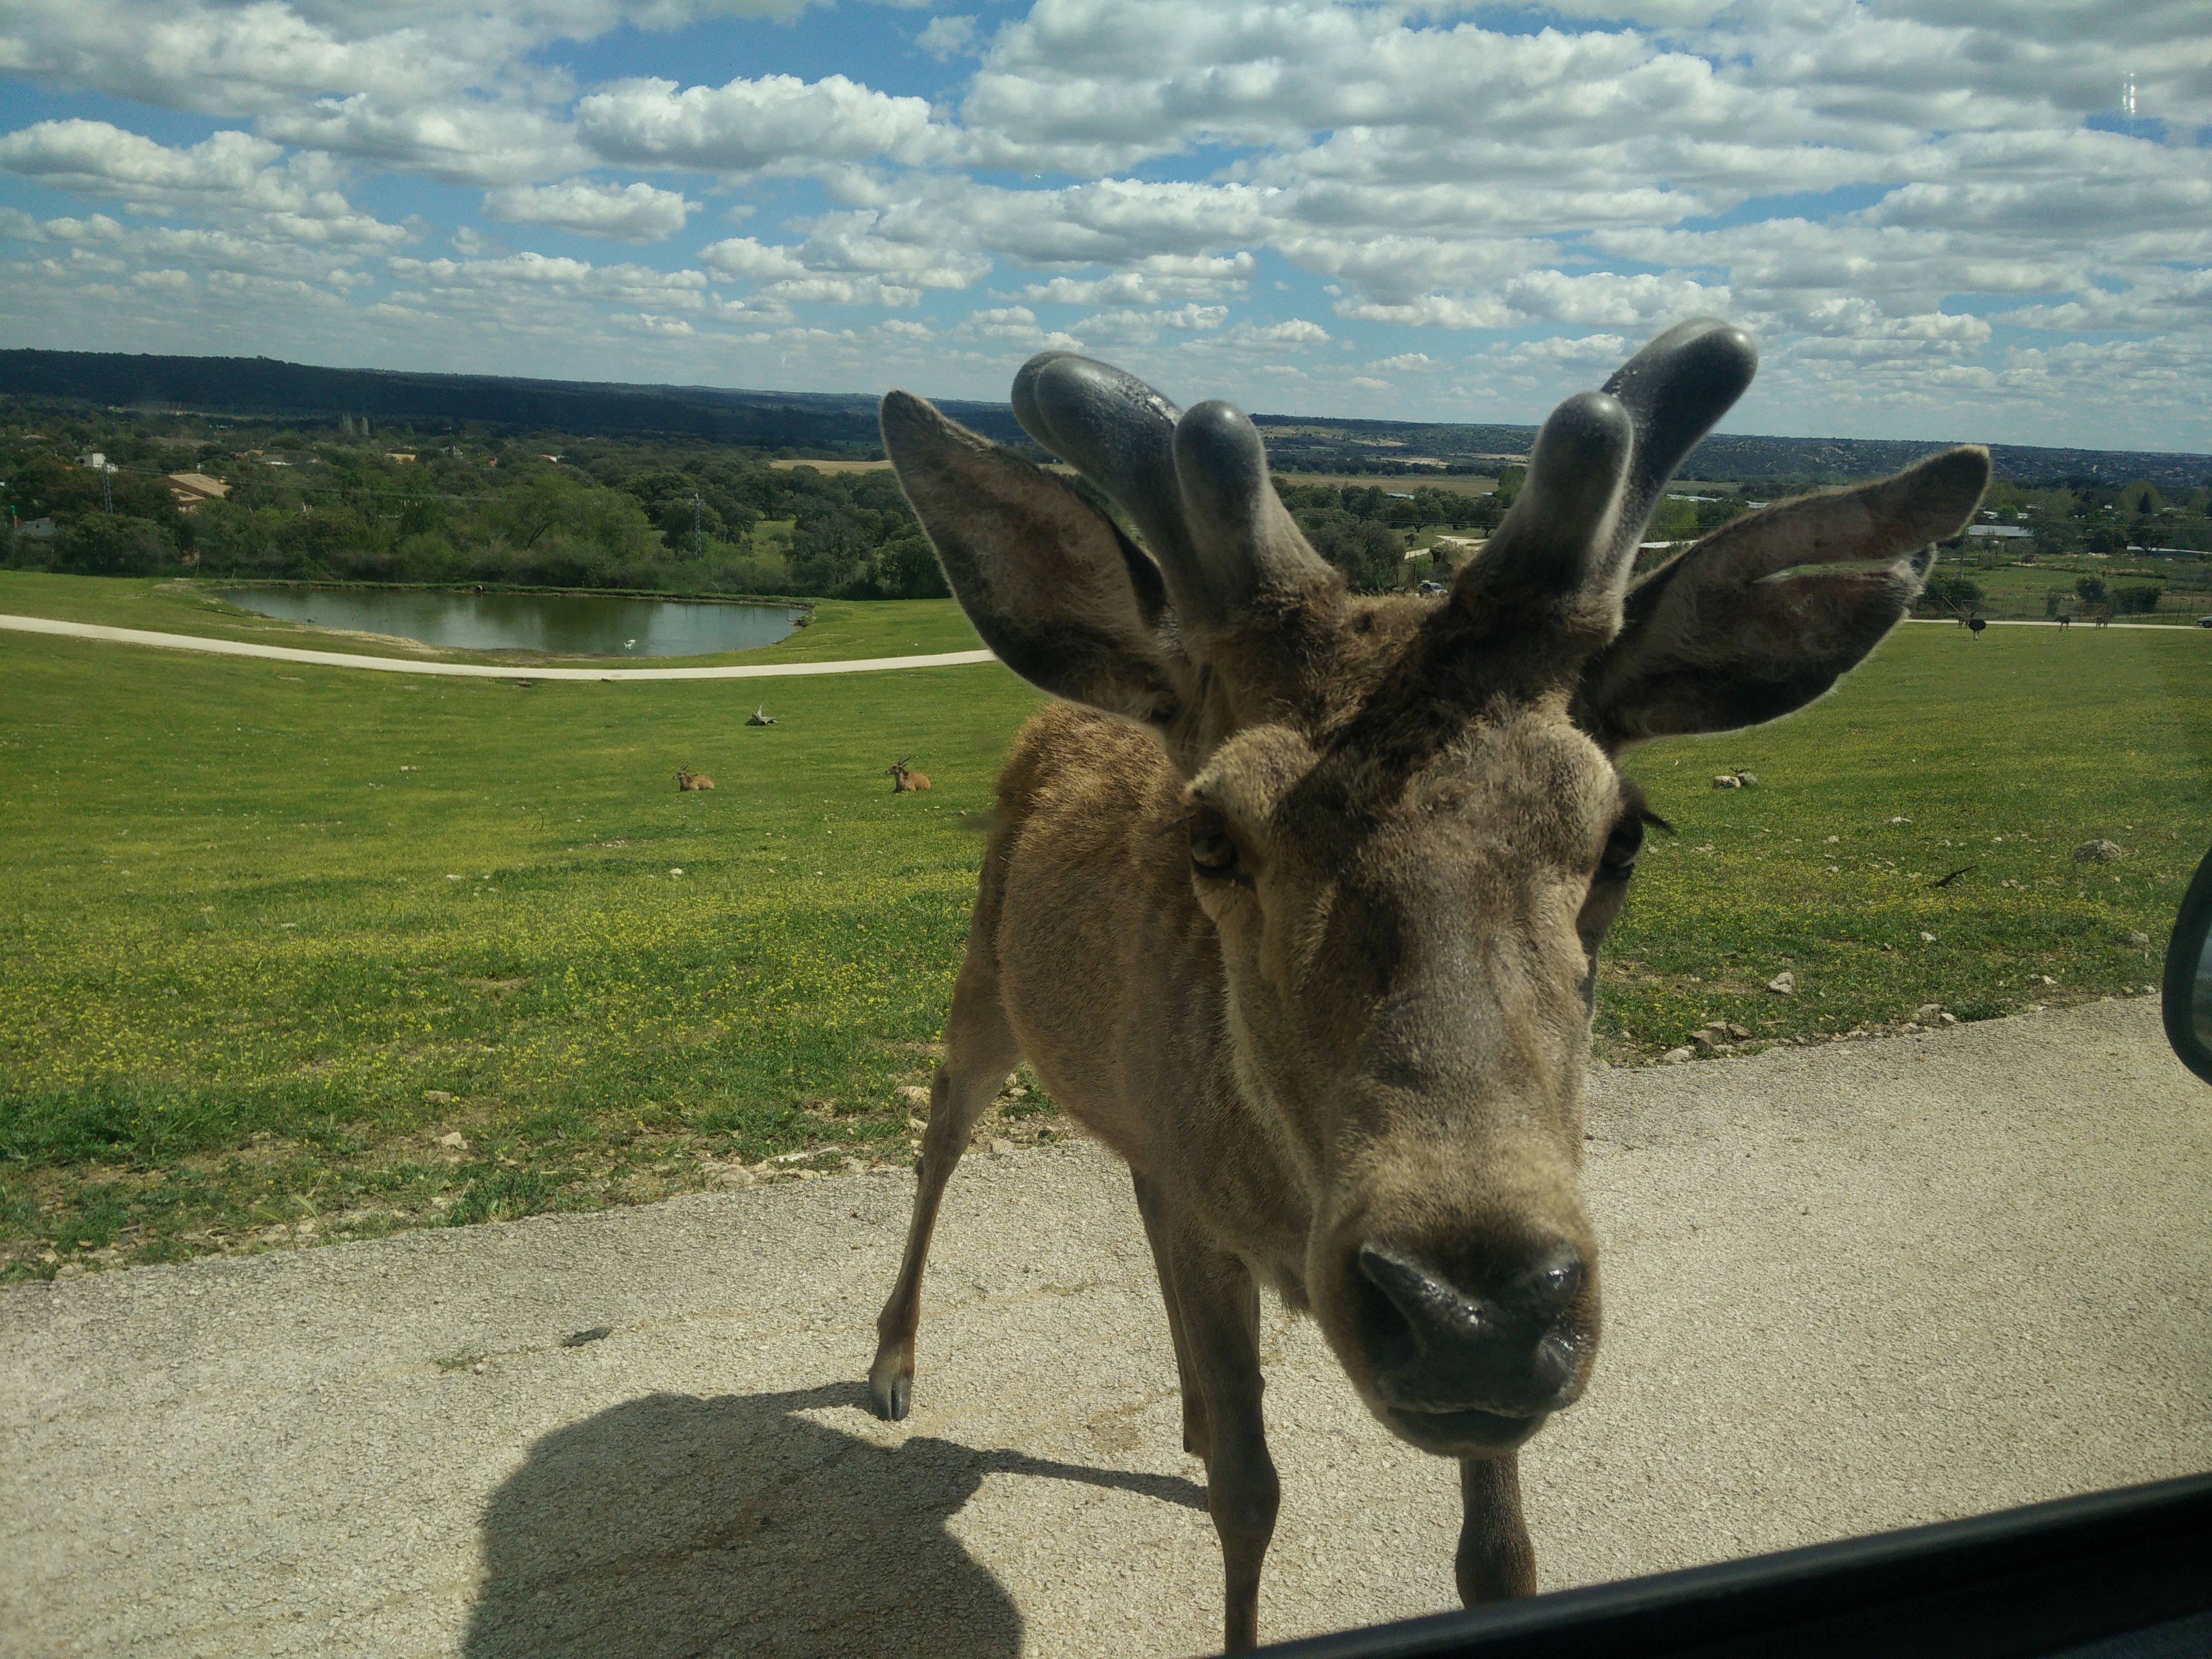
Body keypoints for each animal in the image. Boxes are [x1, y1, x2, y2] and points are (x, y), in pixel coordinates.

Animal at [862, 319, 1990, 1654]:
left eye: (1624, 831)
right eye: (1211, 833)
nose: (1469, 1307)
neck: (1281, 1205)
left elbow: (1498, 1552)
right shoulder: (1205, 1213)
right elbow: (1250, 1494)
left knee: (1133, 1178)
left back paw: (1179, 1404)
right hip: (984, 976)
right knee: (944, 1124)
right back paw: (892, 1367)